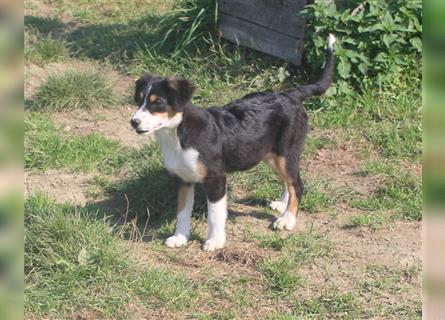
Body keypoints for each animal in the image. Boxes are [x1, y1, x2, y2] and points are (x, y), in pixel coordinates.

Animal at [130, 33, 334, 251]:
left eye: (157, 102)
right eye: (139, 100)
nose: (133, 122)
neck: (177, 134)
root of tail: (290, 94)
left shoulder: (216, 179)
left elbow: (215, 215)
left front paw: (215, 241)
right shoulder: (183, 179)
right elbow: (182, 212)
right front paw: (180, 238)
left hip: (286, 154)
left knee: (298, 184)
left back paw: (287, 219)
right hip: (270, 154)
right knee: (290, 181)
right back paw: (282, 205)